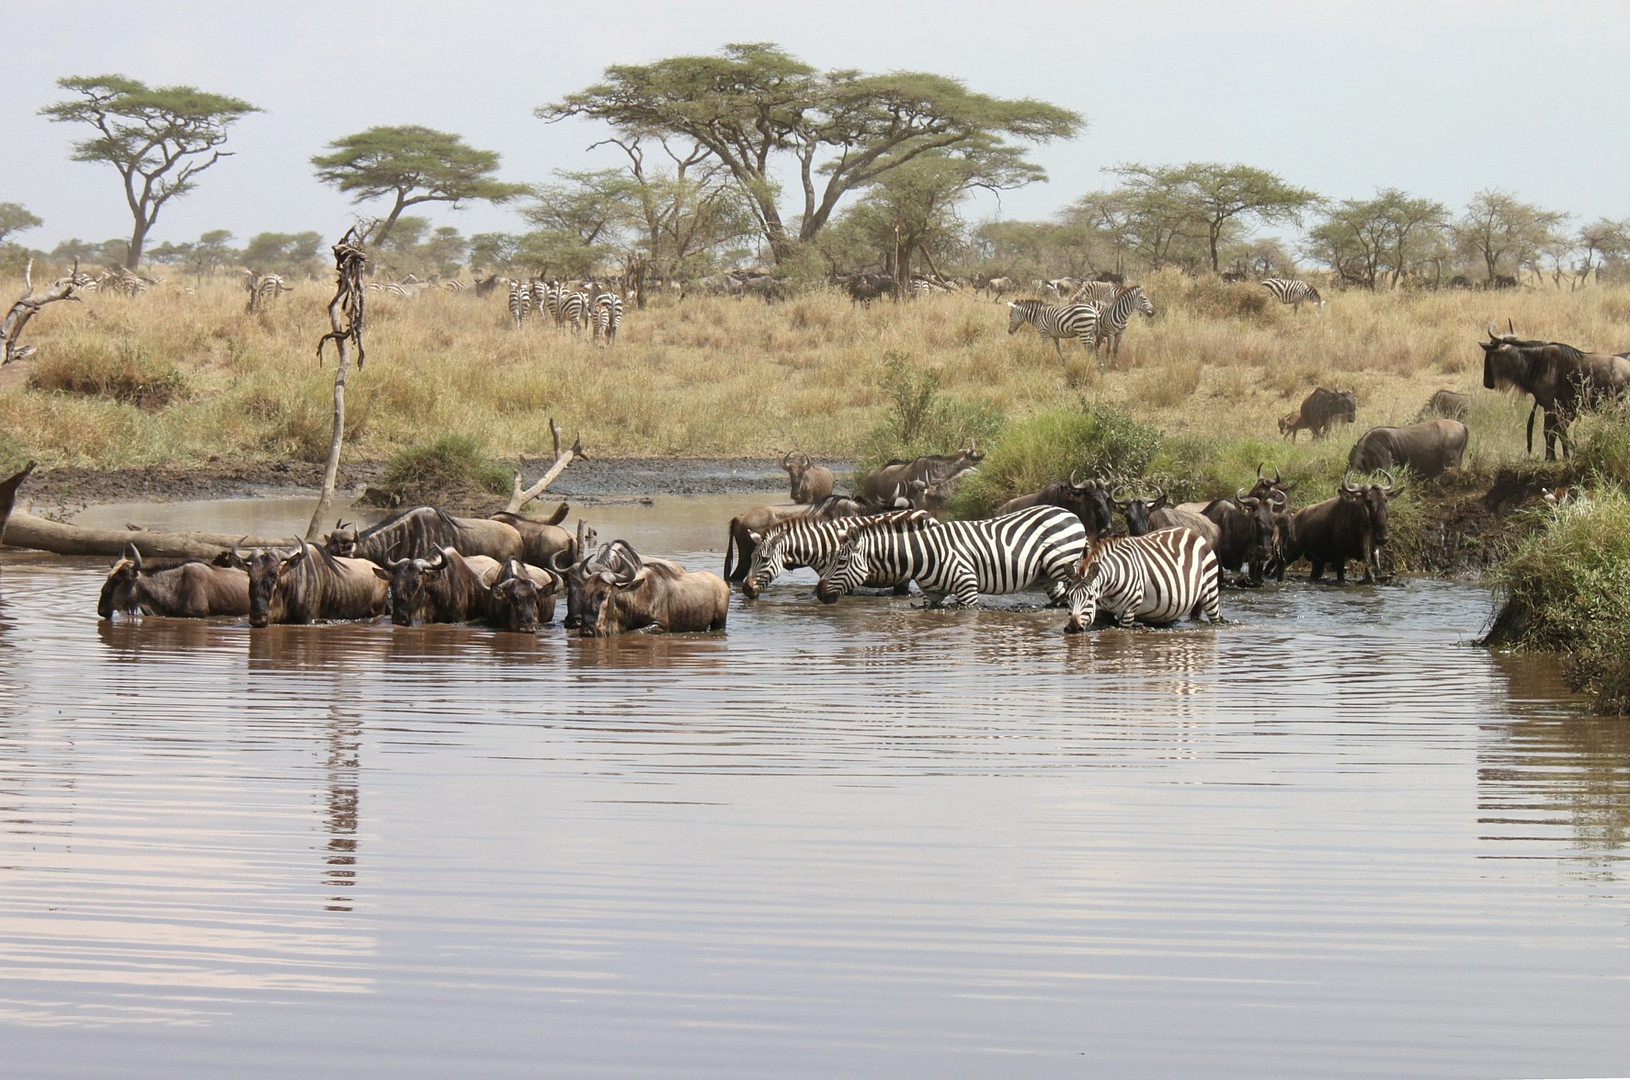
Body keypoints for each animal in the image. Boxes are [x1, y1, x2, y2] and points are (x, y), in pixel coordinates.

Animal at [811, 504, 1082, 609]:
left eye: (841, 562)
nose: (820, 594)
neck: (921, 556)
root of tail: (1069, 512)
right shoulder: (932, 596)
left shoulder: (967, 588)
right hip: (1048, 576)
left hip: (1062, 565)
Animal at [1056, 524, 1225, 635]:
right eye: (1069, 597)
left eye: (1090, 597)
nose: (1072, 628)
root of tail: (1191, 531)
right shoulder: (1104, 610)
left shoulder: (1129, 610)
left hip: (1210, 592)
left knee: (1215, 618)